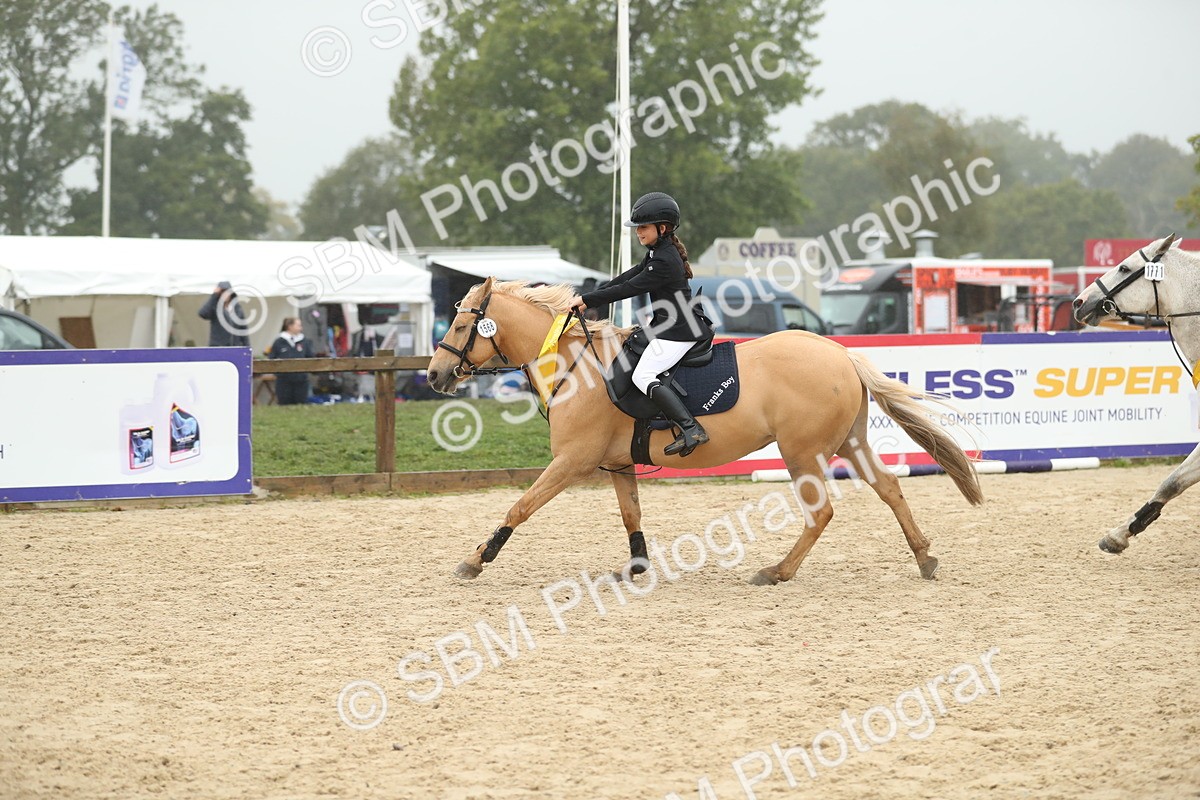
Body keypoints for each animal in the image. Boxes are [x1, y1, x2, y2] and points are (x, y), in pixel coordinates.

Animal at [426, 277, 983, 585]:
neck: (576, 366)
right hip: (850, 442)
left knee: (820, 512)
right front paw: (637, 568)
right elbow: (631, 515)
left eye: (462, 326)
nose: (434, 375)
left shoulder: (571, 462)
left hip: (801, 452)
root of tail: (840, 352)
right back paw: (925, 557)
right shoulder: (618, 464)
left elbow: (520, 507)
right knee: (889, 488)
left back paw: (776, 572)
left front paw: (476, 560)